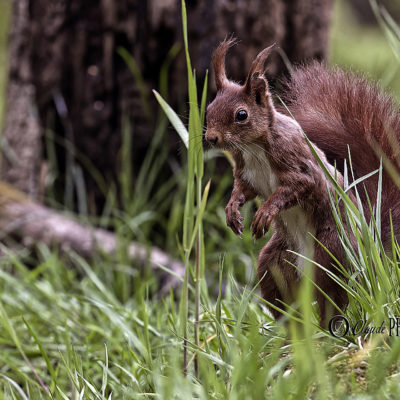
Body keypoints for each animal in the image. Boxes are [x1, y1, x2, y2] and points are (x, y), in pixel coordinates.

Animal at [205, 39, 354, 322]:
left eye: (241, 114)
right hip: (274, 263)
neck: (253, 147)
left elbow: (297, 186)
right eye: (208, 109)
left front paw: (265, 212)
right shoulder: (245, 173)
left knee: (332, 298)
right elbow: (242, 190)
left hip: (330, 253)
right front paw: (231, 211)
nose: (211, 138)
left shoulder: (297, 163)